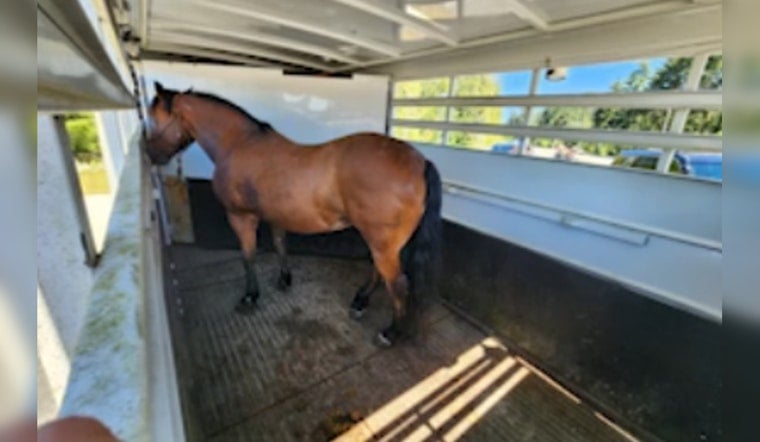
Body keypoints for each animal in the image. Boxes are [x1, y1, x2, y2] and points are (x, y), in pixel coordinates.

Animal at [143, 82, 441, 346]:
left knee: (398, 284)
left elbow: (247, 255)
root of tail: (420, 162)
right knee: (379, 272)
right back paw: (360, 302)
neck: (238, 144)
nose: (150, 155)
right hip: (383, 243)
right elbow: (280, 245)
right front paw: (284, 280)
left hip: (382, 243)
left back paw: (390, 333)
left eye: (154, 119)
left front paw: (250, 296)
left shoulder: (241, 217)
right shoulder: (276, 217)